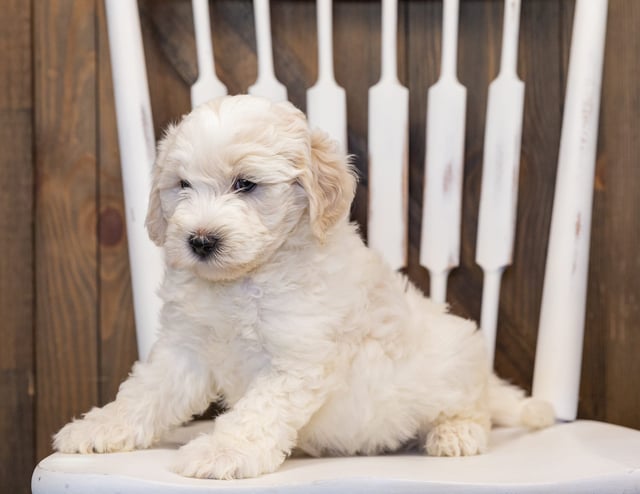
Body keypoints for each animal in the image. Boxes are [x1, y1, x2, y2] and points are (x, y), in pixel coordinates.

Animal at [55, 93, 556, 478]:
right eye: (182, 184)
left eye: (245, 184)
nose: (200, 241)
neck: (242, 282)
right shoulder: (185, 349)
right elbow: (143, 394)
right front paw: (97, 428)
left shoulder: (296, 358)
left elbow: (256, 414)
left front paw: (221, 451)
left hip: (454, 359)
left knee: (474, 409)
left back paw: (454, 433)